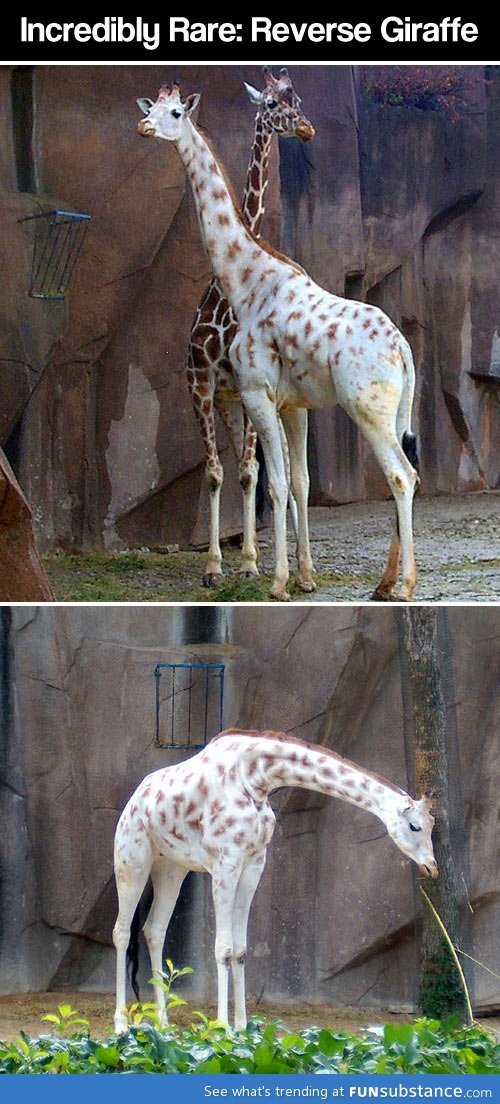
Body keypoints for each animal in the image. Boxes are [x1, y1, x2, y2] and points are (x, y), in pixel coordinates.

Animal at [113, 728, 437, 1028]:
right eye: (415, 826)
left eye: (433, 824)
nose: (431, 867)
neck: (256, 779)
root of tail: (134, 800)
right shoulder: (225, 861)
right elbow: (223, 948)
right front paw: (221, 1029)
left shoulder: (254, 863)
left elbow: (241, 950)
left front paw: (242, 1028)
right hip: (131, 860)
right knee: (122, 931)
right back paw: (121, 1024)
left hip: (171, 867)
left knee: (154, 929)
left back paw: (163, 1023)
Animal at [137, 83, 421, 604]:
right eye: (151, 107)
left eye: (175, 112)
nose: (143, 127)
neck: (246, 281)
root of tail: (403, 350)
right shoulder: (293, 404)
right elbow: (300, 482)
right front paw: (304, 576)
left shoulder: (256, 392)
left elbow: (274, 484)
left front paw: (277, 582)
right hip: (394, 408)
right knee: (407, 470)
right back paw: (385, 583)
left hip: (366, 407)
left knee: (400, 474)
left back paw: (403, 586)